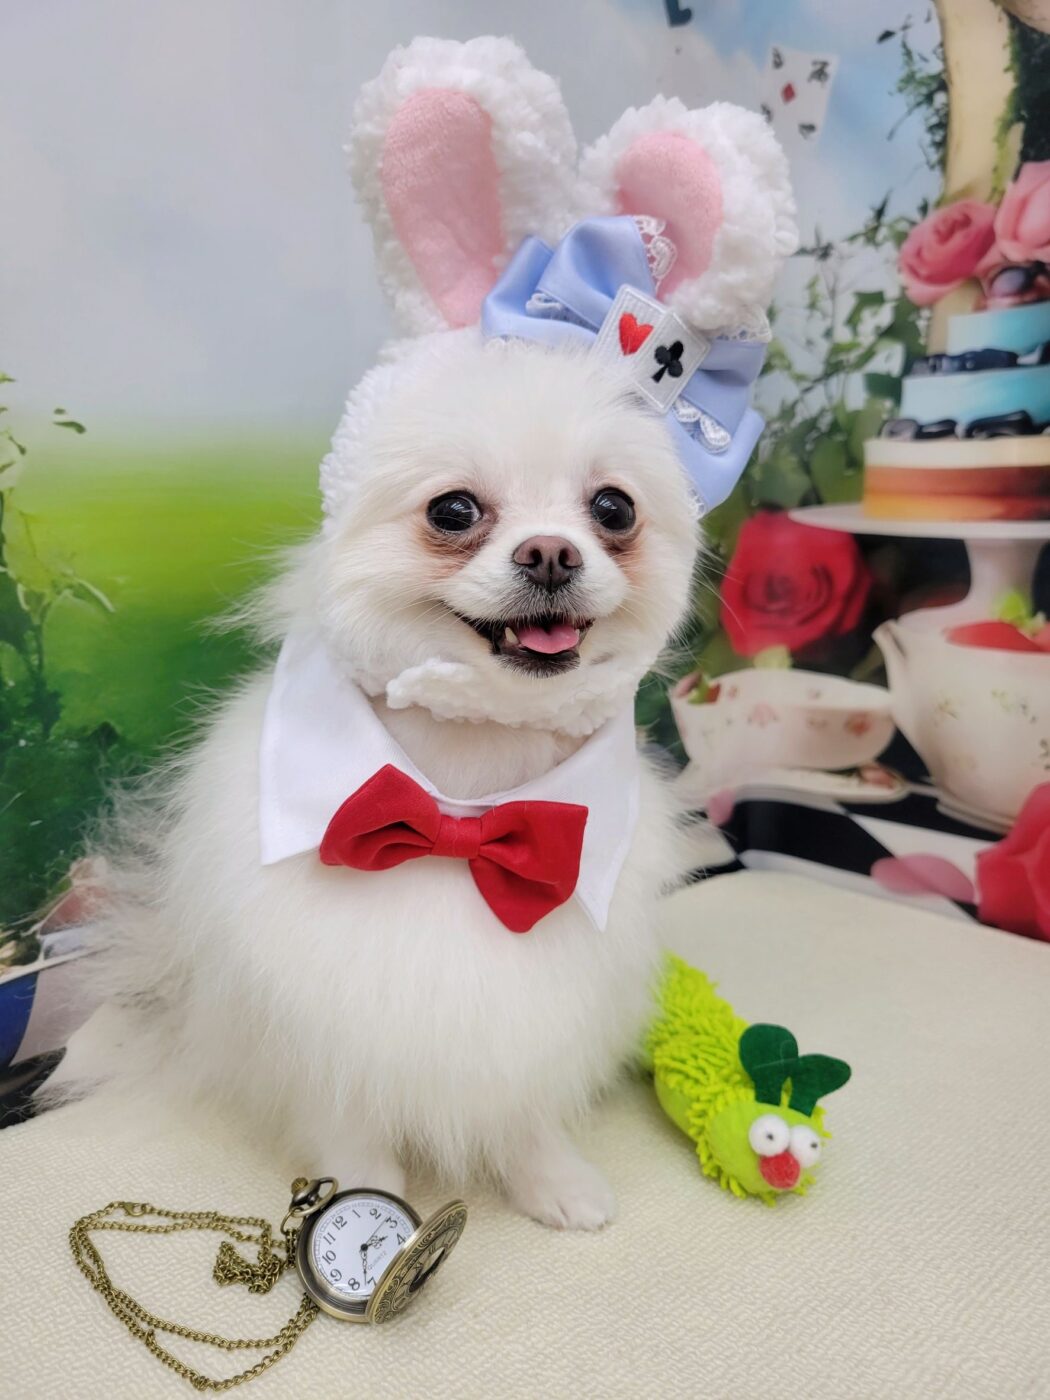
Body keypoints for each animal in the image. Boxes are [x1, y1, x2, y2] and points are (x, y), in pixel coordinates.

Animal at [55, 37, 794, 1230]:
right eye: (455, 510)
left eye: (613, 509)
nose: (552, 555)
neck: (469, 785)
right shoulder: (331, 1025)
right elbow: (357, 1133)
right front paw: (367, 1218)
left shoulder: (536, 1005)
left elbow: (525, 1109)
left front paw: (555, 1185)